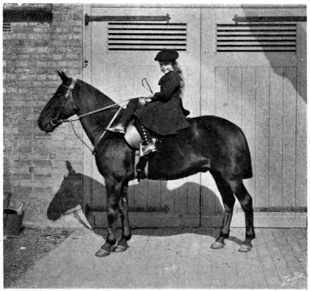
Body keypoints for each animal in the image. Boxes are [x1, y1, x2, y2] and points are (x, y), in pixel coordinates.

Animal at [38, 72, 254, 258]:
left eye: (59, 94)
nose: (41, 122)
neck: (110, 130)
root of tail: (235, 128)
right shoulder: (122, 181)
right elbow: (123, 208)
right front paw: (123, 241)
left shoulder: (112, 180)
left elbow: (111, 210)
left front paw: (108, 244)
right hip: (219, 175)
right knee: (229, 202)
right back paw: (221, 238)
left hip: (232, 177)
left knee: (245, 201)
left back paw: (247, 241)